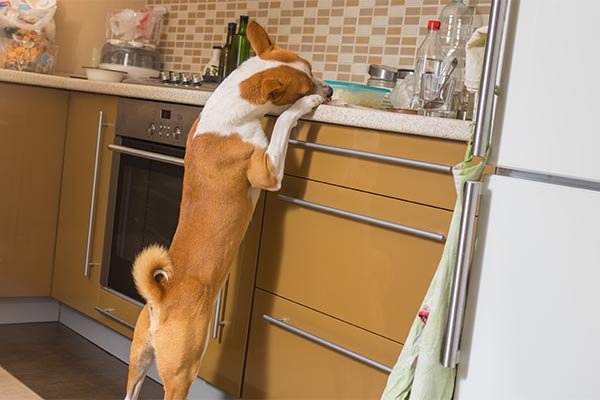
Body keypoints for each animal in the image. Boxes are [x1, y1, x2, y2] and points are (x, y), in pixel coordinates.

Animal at [123, 21, 330, 400]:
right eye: (306, 84)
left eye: (311, 68)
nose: (331, 90)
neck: (229, 109)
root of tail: (161, 298)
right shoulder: (267, 170)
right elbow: (283, 122)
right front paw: (304, 106)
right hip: (183, 370)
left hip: (138, 360)